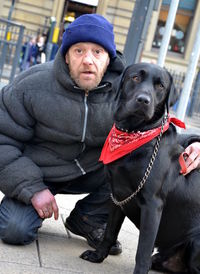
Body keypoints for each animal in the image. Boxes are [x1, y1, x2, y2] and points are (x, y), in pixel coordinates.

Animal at [80, 63, 200, 274]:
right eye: (135, 78)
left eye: (160, 86)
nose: (143, 100)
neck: (135, 133)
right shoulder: (117, 196)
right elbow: (109, 232)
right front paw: (97, 256)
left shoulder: (153, 204)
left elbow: (142, 250)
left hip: (196, 244)